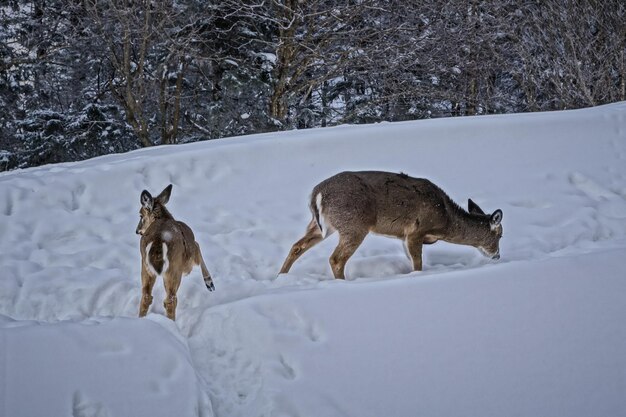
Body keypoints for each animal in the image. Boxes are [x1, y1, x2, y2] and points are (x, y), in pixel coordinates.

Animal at [136, 184, 214, 320]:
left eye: (141, 216)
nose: (137, 230)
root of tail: (158, 241)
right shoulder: (188, 259)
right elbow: (198, 249)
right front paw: (209, 283)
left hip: (145, 266)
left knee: (146, 295)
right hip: (174, 267)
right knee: (170, 298)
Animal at [278, 169, 502, 280]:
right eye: (500, 235)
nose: (497, 256)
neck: (444, 220)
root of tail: (317, 193)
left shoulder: (404, 236)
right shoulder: (415, 230)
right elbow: (418, 264)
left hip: (323, 225)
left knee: (297, 245)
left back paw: (281, 277)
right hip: (354, 224)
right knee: (336, 259)